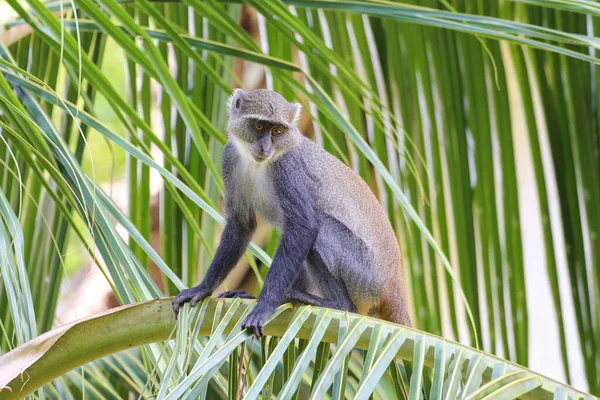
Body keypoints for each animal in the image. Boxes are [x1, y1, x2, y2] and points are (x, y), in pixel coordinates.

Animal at [171, 89, 410, 336]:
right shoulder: (230, 158)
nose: (265, 148)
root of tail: (394, 283)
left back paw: (333, 303)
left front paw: (264, 306)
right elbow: (241, 226)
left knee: (322, 229)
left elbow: (304, 227)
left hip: (364, 277)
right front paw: (202, 288)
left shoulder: (288, 168)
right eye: (259, 126)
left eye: (277, 131)